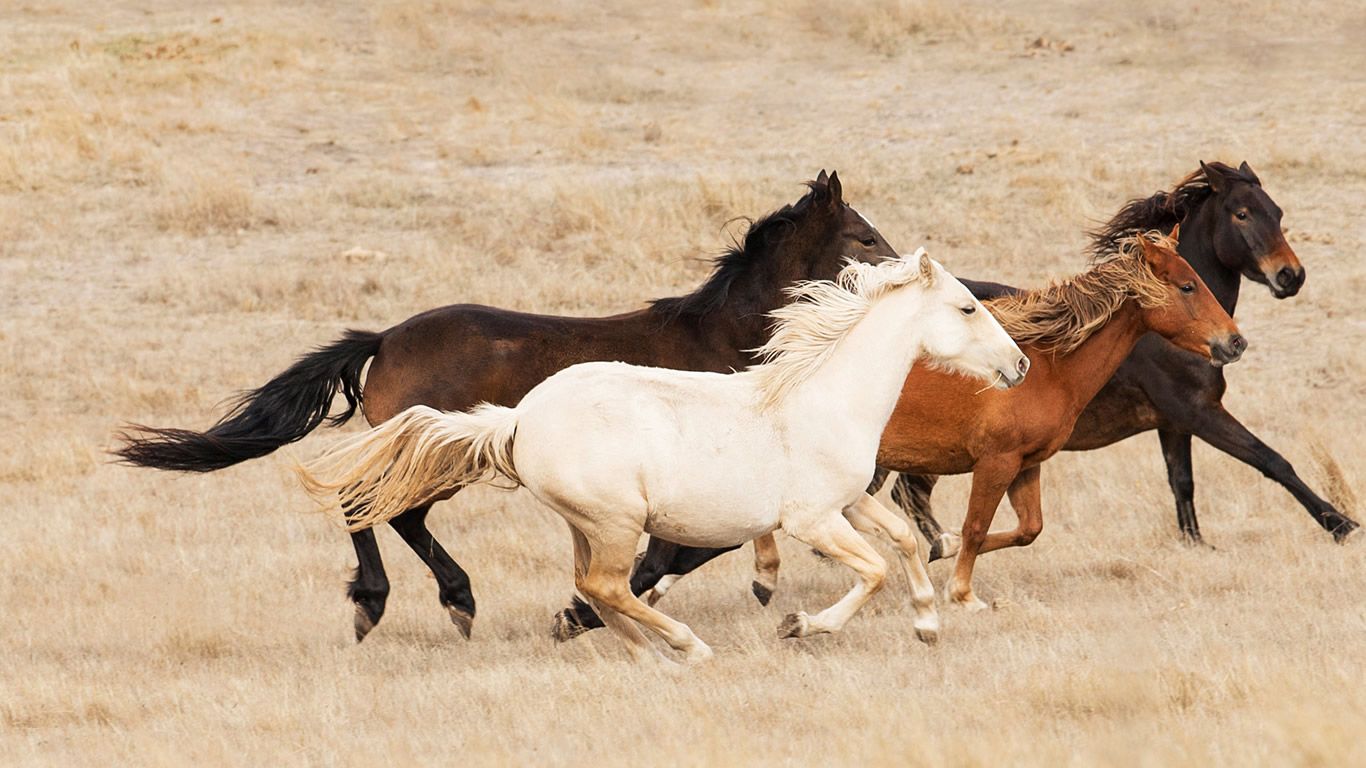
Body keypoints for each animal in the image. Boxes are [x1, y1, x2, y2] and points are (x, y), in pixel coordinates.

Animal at [114, 172, 905, 642]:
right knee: (369, 504)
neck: (726, 338)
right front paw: (582, 613)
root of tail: (385, 339)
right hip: (436, 457)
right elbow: (684, 549)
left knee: (391, 513)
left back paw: (437, 603)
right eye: (864, 236)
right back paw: (394, 603)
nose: (911, 272)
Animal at [296, 251, 1030, 662]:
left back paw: (643, 650)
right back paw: (684, 646)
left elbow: (904, 541)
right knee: (606, 586)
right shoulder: (812, 520)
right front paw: (799, 624)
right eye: (967, 307)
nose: (1020, 365)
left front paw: (928, 623)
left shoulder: (850, 502)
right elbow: (874, 570)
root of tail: (519, 418)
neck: (822, 396)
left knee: (597, 587)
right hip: (616, 523)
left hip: (587, 525)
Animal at [574, 160, 1359, 634]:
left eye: (1278, 210)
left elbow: (1031, 528)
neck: (1046, 362)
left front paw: (941, 563)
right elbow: (979, 530)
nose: (1234, 344)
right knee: (675, 550)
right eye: (1190, 284)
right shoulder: (1008, 458)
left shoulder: (1036, 462)